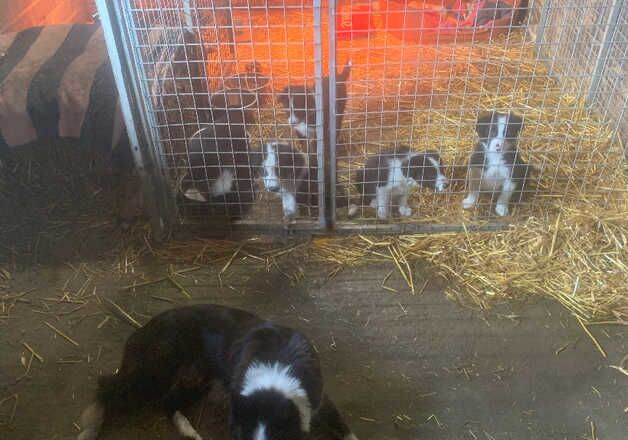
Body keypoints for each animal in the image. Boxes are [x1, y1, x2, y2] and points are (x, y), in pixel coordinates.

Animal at [77, 304, 358, 440]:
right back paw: (88, 430)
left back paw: (191, 433)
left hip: (195, 380)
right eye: (243, 436)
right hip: (153, 372)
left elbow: (343, 427)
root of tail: (141, 330)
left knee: (168, 404)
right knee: (107, 386)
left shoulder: (320, 400)